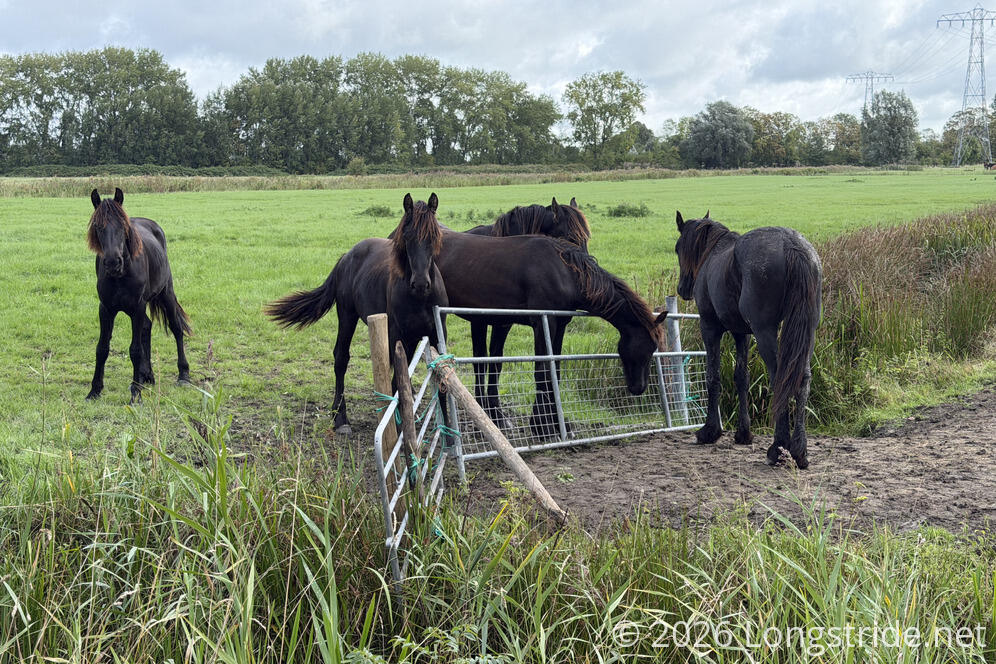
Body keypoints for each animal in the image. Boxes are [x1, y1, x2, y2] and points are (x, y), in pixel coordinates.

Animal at [84, 188, 191, 403]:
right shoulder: (106, 309)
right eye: (98, 227)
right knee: (147, 328)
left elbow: (135, 350)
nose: (112, 262)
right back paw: (146, 376)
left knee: (176, 327)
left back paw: (183, 375)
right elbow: (102, 348)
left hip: (166, 293)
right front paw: (95, 390)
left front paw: (135, 394)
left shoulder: (137, 307)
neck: (122, 274)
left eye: (123, 226)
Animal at [266, 193, 447, 435]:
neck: (420, 299)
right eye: (407, 237)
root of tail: (347, 256)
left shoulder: (435, 336)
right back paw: (340, 418)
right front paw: (399, 426)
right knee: (341, 358)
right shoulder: (397, 336)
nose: (419, 284)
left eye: (434, 236)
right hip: (347, 316)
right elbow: (397, 382)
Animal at [433, 231, 667, 439]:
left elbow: (555, 371)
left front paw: (558, 425)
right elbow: (542, 372)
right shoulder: (543, 323)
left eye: (653, 349)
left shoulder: (560, 324)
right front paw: (541, 426)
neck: (563, 273)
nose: (639, 388)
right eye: (642, 348)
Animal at [673, 211, 822, 469]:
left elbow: (713, 377)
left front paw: (710, 431)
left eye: (677, 248)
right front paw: (743, 433)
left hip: (765, 332)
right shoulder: (741, 333)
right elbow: (741, 377)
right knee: (802, 378)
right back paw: (799, 451)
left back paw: (778, 448)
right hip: (805, 331)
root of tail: (791, 244)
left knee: (779, 377)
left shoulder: (710, 327)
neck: (714, 253)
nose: (683, 288)